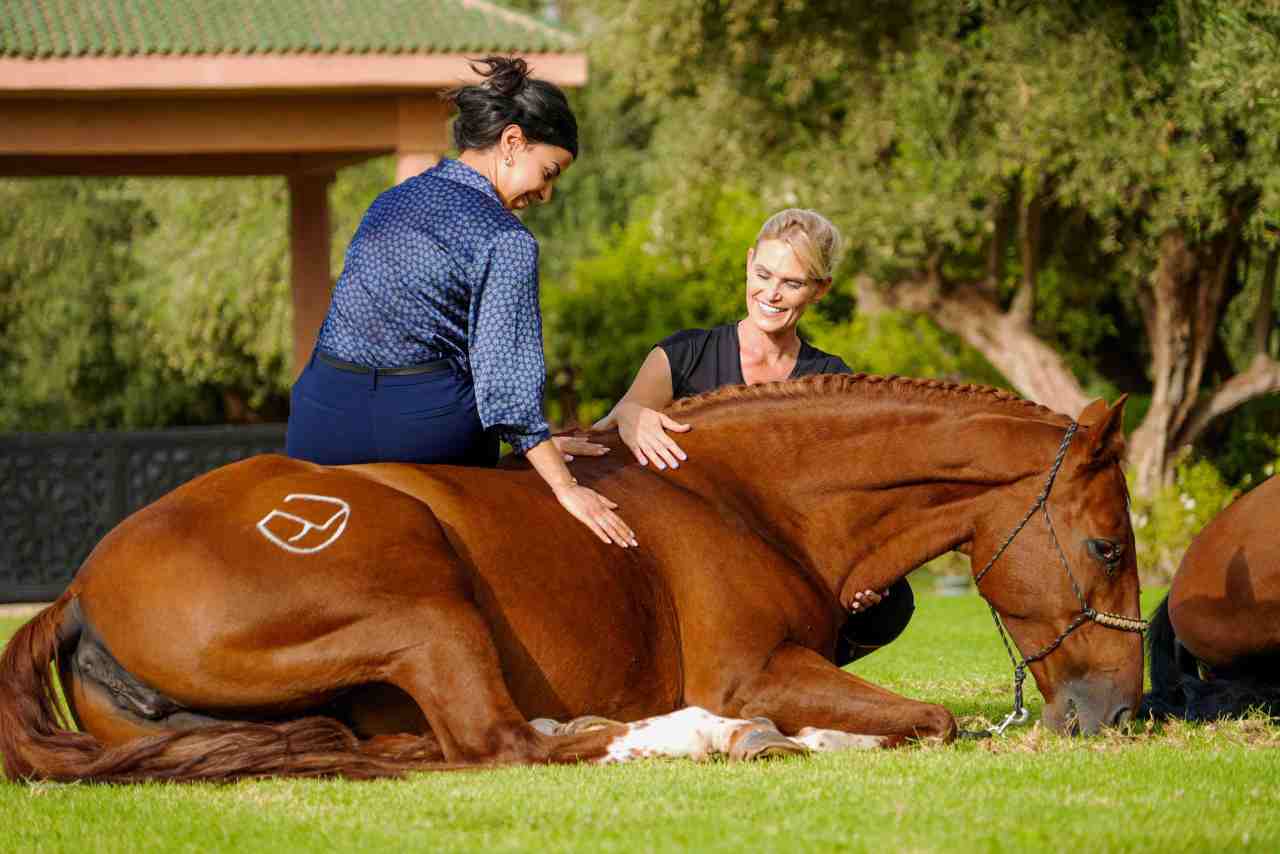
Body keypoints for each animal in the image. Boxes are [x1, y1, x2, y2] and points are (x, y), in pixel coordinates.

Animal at [0, 374, 1145, 783]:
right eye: (1105, 548)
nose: (1117, 711)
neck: (744, 494)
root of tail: (84, 587)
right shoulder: (752, 668)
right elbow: (927, 719)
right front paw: (777, 730)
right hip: (424, 603)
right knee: (495, 744)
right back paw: (692, 737)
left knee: (419, 744)